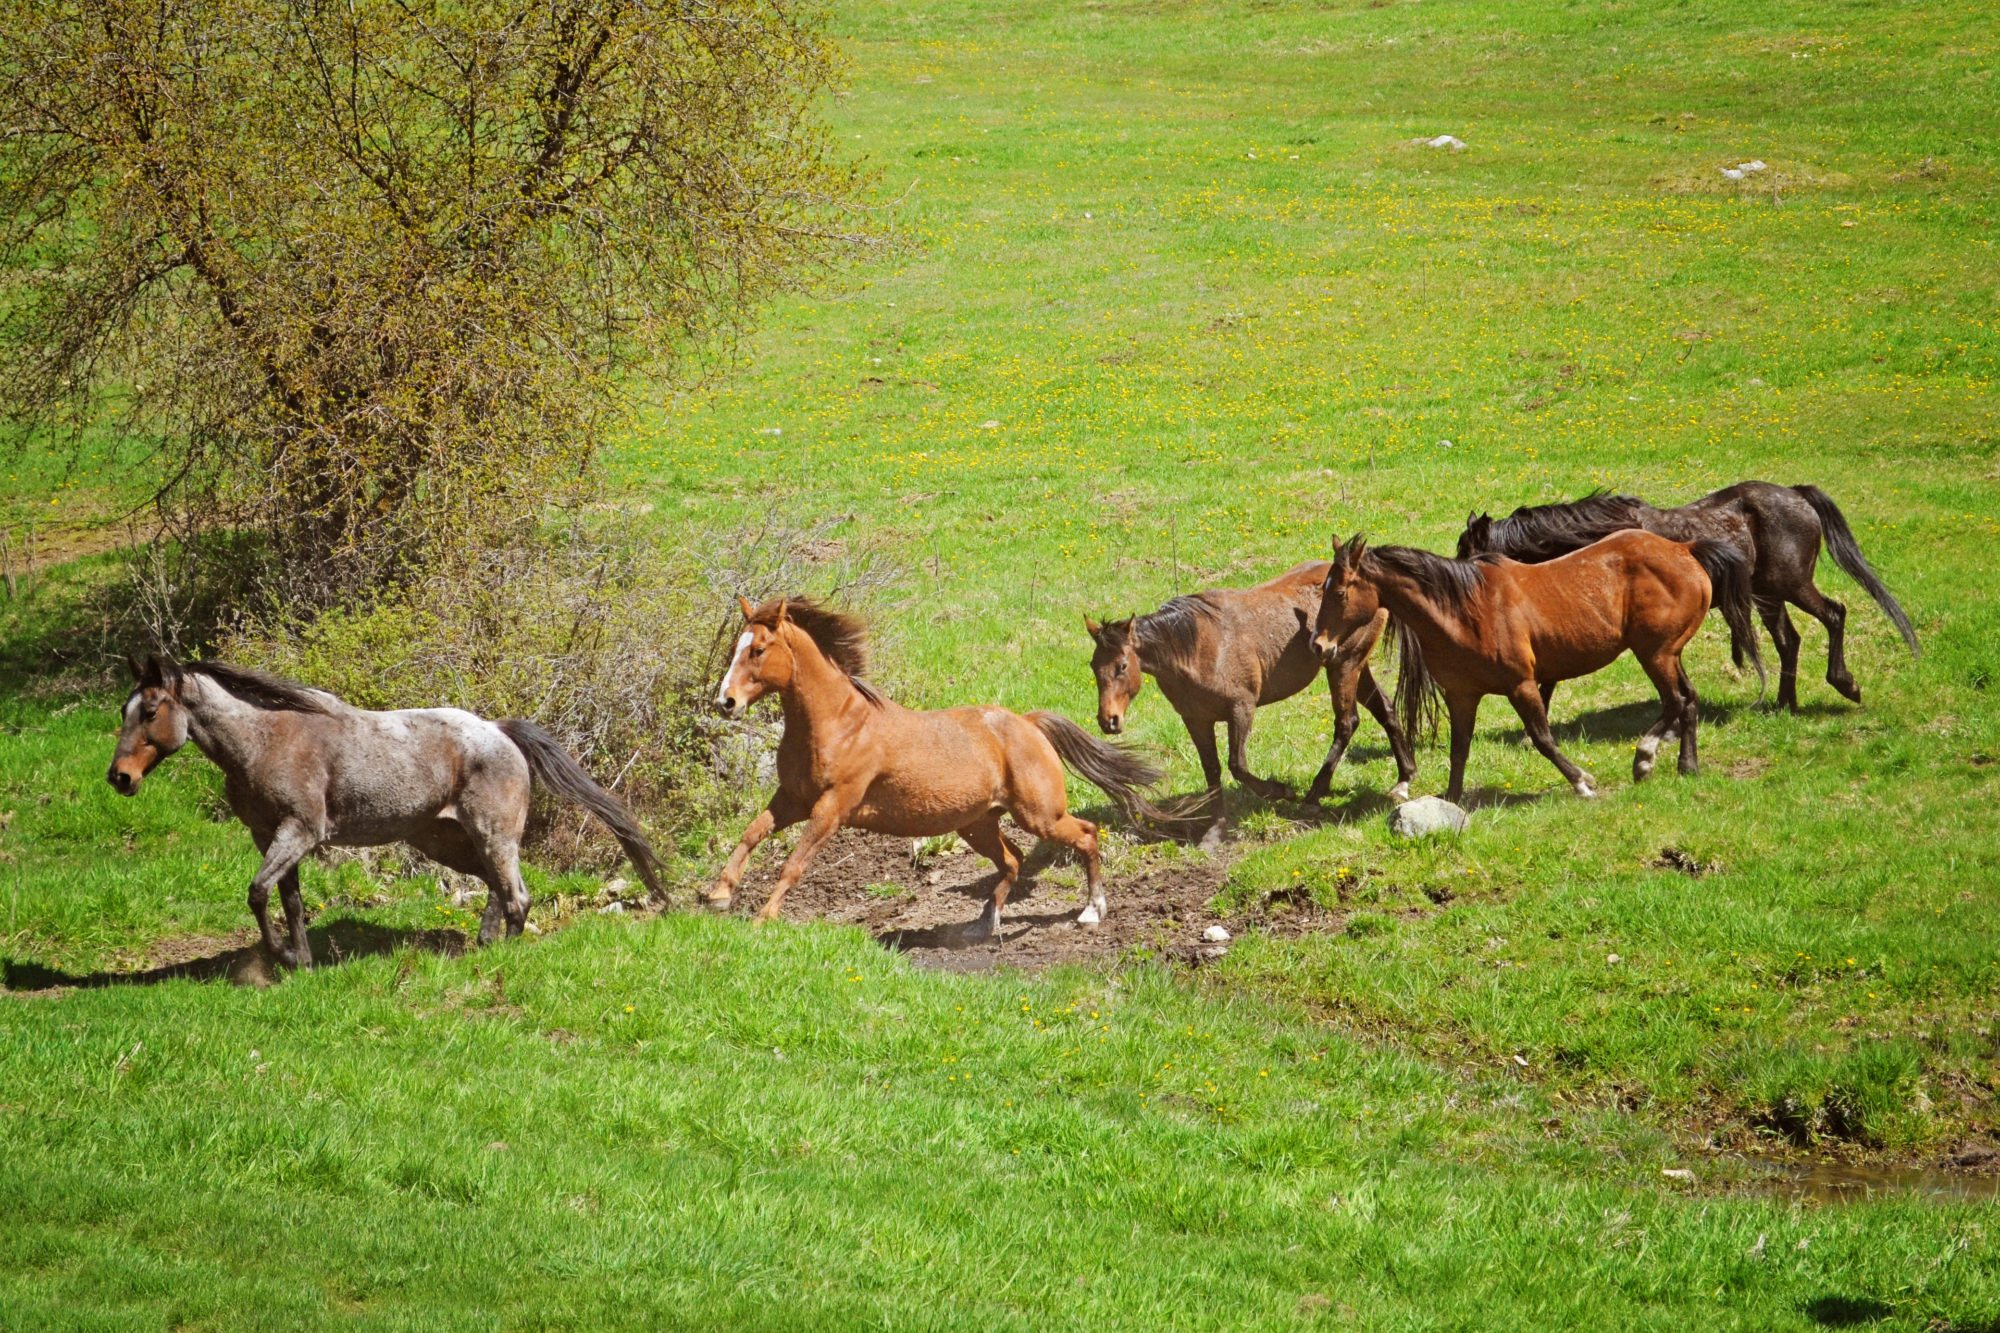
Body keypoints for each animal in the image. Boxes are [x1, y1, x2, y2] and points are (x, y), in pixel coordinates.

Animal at [108, 655, 663, 967]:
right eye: (124, 710)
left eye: (151, 711)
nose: (119, 778)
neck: (264, 741)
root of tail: (499, 730)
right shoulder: (269, 837)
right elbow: (288, 901)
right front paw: (299, 961)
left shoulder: (299, 832)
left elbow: (258, 892)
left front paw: (281, 956)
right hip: (446, 840)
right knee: (497, 886)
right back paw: (484, 944)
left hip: (493, 834)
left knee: (517, 896)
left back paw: (505, 954)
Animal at [705, 597, 1164, 939]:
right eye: (734, 649)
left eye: (758, 650)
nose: (725, 702)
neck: (837, 722)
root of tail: (1028, 723)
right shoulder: (792, 799)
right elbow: (752, 833)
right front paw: (718, 894)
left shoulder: (832, 808)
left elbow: (794, 862)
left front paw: (764, 917)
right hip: (977, 824)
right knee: (1013, 860)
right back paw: (984, 923)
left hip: (1040, 816)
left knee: (1085, 835)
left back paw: (1092, 911)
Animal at [1085, 562, 1417, 811]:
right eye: (1093, 666)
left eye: (1122, 666)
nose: (1108, 720)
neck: (1198, 647)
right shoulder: (1195, 720)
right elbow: (1212, 770)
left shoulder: (1241, 708)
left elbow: (1237, 765)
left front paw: (1281, 791)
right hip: (1356, 665)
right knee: (1386, 709)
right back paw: (1404, 778)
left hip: (1344, 665)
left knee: (1347, 722)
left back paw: (1313, 794)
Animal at [1311, 532, 1762, 802]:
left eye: (1339, 591)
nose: (1319, 645)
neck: (1466, 609)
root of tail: (1684, 550)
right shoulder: (1462, 695)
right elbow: (1459, 749)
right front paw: (1451, 801)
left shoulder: (1522, 685)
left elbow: (1543, 738)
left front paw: (1582, 783)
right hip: (1668, 654)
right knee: (1687, 698)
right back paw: (1687, 766)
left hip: (1655, 653)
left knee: (1674, 701)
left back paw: (1645, 757)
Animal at [1456, 482, 1917, 710]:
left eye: (1466, 554)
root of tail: (1796, 493)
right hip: (1768, 596)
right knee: (1790, 641)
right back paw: (1785, 704)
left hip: (1792, 585)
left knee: (1834, 615)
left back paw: (1844, 684)